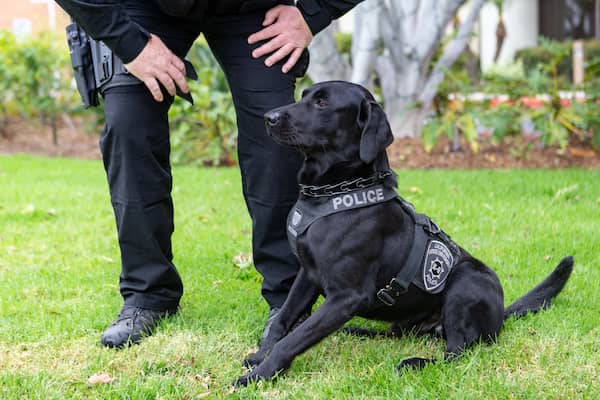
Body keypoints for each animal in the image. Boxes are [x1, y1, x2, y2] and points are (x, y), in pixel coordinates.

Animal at [233, 80, 572, 384]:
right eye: (304, 95)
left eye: (322, 103)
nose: (268, 117)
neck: (337, 193)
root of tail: (501, 314)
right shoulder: (308, 274)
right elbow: (283, 321)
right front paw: (260, 357)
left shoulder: (347, 296)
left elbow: (295, 338)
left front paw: (259, 375)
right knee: (398, 334)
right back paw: (358, 330)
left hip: (465, 282)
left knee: (456, 352)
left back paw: (414, 363)